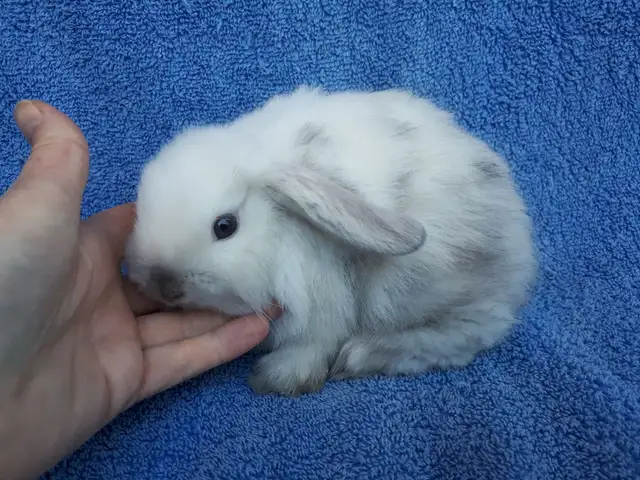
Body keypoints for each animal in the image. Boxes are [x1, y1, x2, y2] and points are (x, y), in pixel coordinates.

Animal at [124, 86, 537, 397]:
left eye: (225, 226)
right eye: (141, 213)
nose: (165, 285)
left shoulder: (321, 301)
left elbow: (314, 344)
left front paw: (276, 379)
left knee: (472, 332)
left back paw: (359, 356)